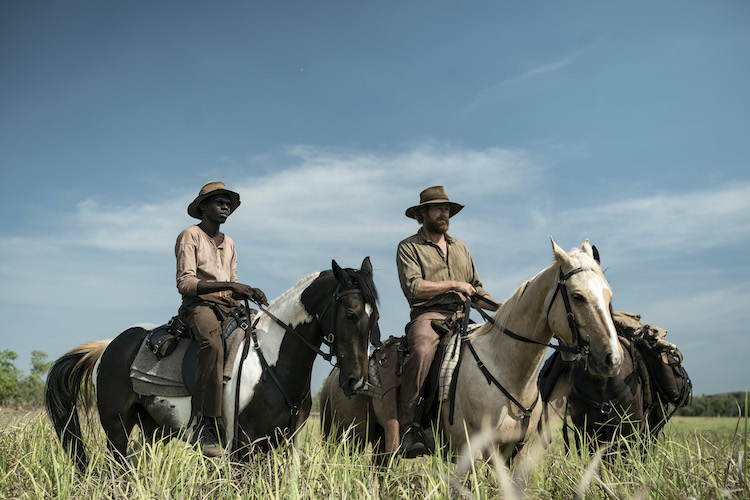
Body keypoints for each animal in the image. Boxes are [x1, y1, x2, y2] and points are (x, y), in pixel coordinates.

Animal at [44, 258, 378, 468]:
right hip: (117, 428)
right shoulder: (243, 446)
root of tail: (107, 347)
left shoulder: (283, 444)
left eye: (374, 316)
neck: (271, 364)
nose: (356, 381)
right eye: (350, 314)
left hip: (153, 429)